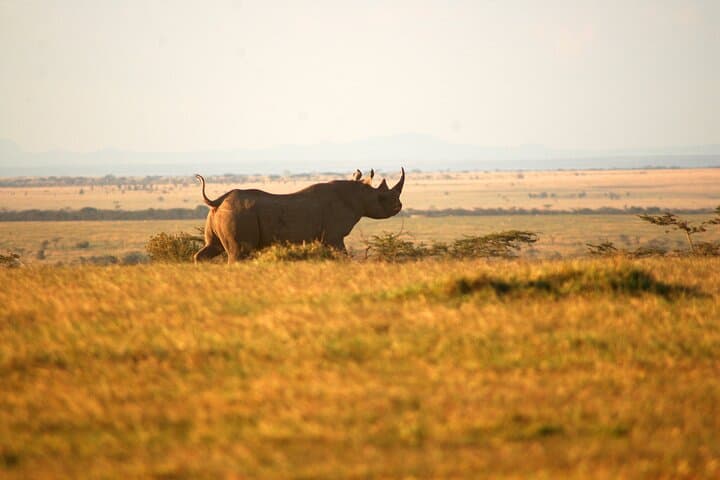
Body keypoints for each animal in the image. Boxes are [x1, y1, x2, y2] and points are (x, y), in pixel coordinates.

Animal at [193, 168, 405, 263]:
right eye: (382, 197)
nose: (399, 206)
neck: (359, 194)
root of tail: (217, 201)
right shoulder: (334, 237)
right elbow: (342, 255)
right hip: (238, 214)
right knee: (238, 253)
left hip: (220, 215)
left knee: (212, 247)